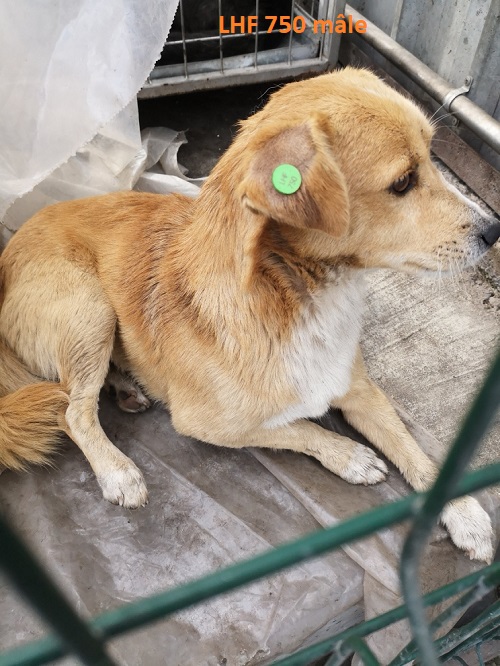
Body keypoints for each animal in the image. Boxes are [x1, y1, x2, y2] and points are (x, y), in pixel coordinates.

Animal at [0, 67, 498, 556]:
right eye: (403, 182)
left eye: (431, 158)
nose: (494, 230)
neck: (294, 296)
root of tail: (10, 248)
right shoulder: (206, 422)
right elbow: (298, 428)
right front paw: (349, 456)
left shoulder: (358, 388)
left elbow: (412, 448)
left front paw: (462, 512)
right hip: (90, 308)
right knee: (71, 411)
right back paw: (116, 469)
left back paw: (125, 386)